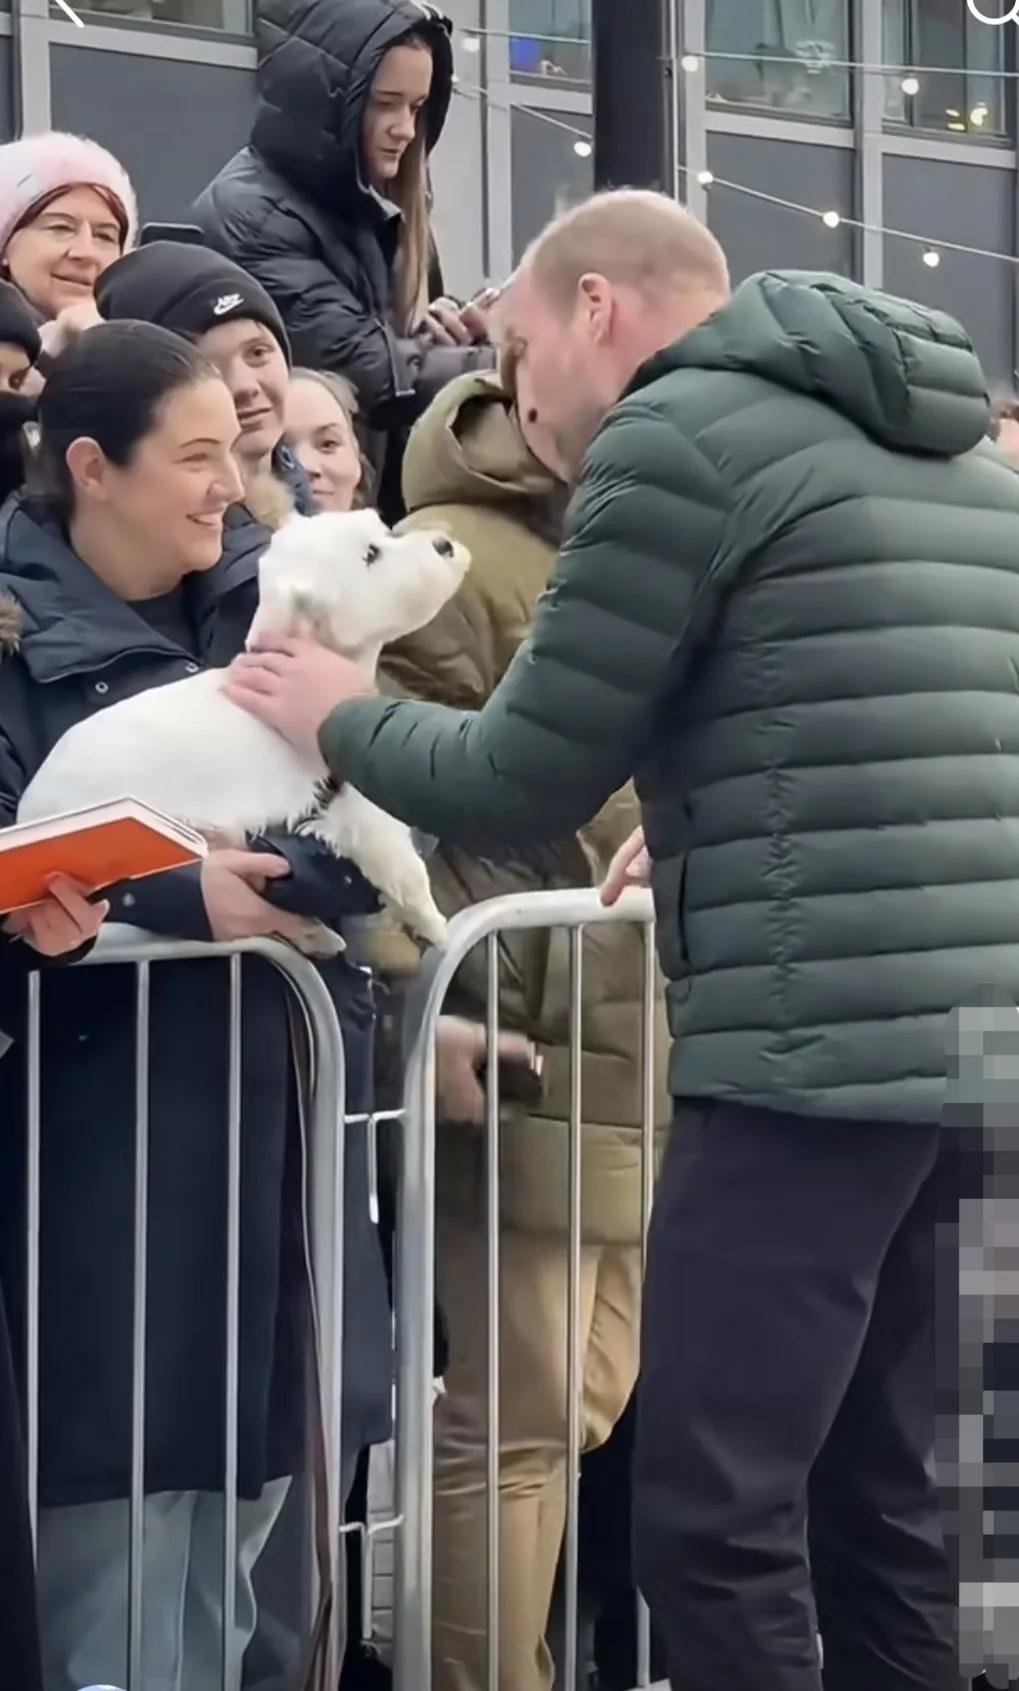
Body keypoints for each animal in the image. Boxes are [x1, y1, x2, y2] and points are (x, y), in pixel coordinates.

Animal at [18, 507, 473, 953]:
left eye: (384, 530)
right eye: (370, 555)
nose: (444, 544)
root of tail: (29, 814)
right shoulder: (354, 798)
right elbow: (401, 863)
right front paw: (438, 928)